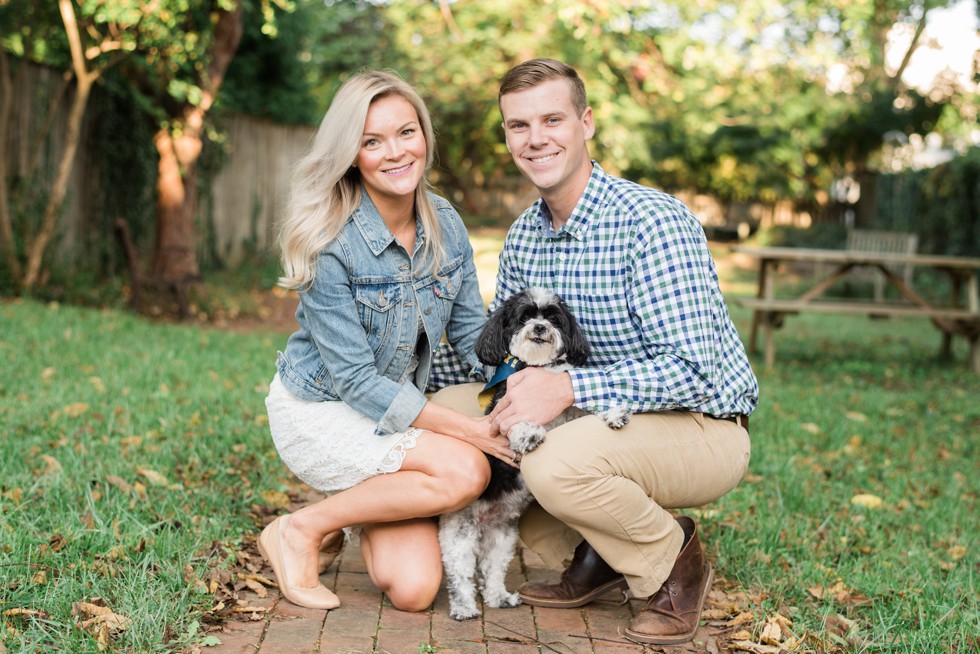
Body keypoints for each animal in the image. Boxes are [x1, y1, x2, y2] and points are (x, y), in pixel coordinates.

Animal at [436, 290, 628, 624]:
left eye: (553, 319)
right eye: (524, 317)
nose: (539, 327)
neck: (538, 368)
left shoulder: (566, 412)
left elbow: (584, 406)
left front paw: (613, 412)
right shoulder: (507, 408)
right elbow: (517, 422)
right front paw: (528, 433)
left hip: (502, 537)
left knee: (492, 570)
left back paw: (499, 598)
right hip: (459, 532)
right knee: (460, 574)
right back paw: (464, 607)